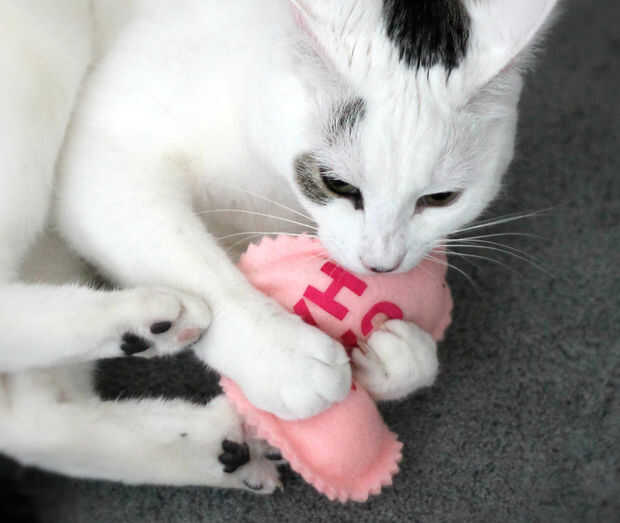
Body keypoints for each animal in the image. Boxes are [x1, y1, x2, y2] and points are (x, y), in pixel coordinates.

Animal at [0, 0, 559, 492]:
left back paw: (217, 444)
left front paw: (397, 358)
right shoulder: (106, 153)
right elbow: (201, 265)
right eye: (335, 184)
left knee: (28, 416)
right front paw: (279, 354)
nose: (381, 264)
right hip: (41, 58)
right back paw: (150, 318)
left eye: (440, 199)